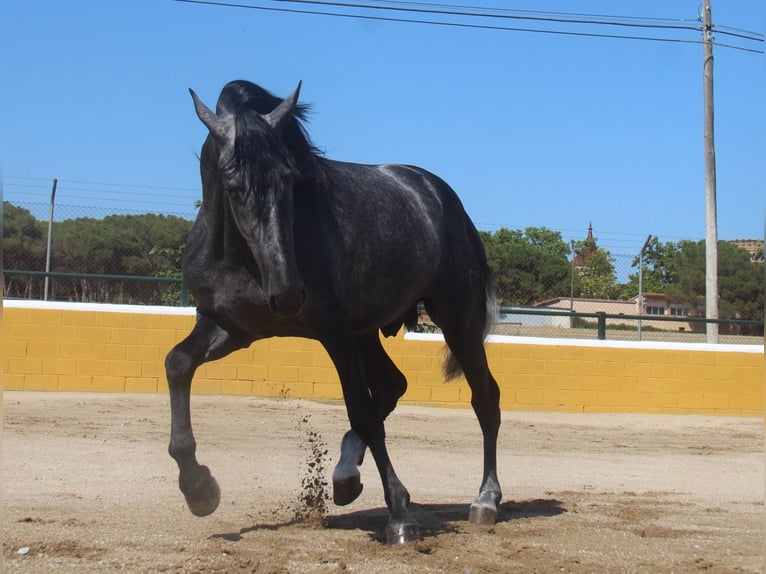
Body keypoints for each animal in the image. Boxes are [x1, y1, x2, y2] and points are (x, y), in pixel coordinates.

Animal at [166, 80, 504, 544]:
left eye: (290, 178)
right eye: (233, 185)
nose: (288, 295)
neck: (242, 258)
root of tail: (439, 194)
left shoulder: (334, 331)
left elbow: (359, 410)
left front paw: (400, 514)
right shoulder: (230, 327)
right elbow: (177, 363)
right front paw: (198, 489)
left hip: (457, 320)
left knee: (484, 397)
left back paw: (485, 499)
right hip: (368, 331)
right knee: (392, 385)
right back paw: (346, 476)